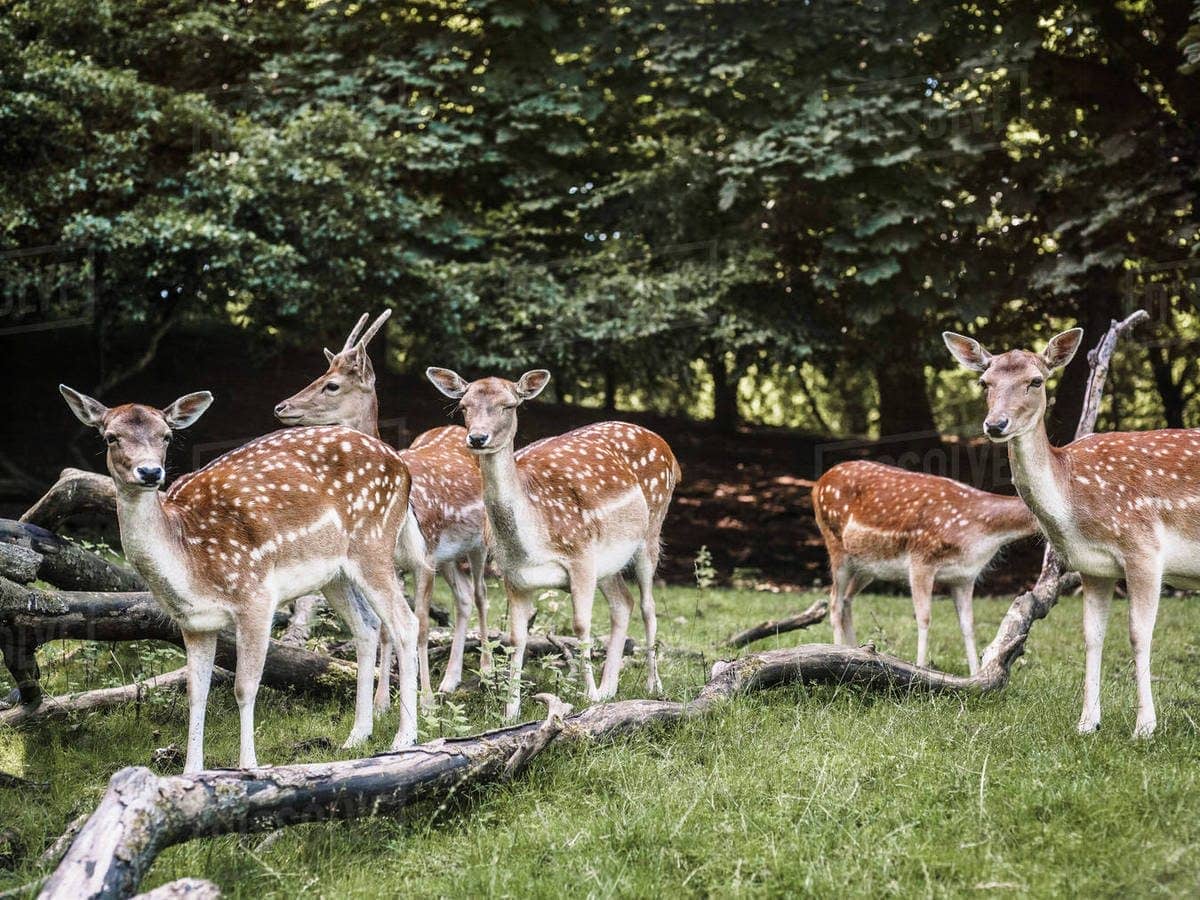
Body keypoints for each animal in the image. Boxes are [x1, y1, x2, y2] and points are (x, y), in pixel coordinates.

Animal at [64, 384, 427, 772]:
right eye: (110, 436)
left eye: (166, 435)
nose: (150, 472)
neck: (190, 563)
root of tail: (403, 467)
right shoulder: (194, 622)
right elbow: (196, 693)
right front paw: (191, 771)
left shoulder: (256, 597)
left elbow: (245, 686)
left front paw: (248, 765)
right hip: (335, 574)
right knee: (367, 627)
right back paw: (357, 735)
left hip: (373, 544)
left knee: (405, 623)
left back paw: (404, 737)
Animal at [274, 312, 487, 705]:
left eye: (332, 385)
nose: (282, 406)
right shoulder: (397, 562)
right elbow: (388, 628)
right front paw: (383, 700)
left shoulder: (423, 560)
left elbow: (420, 626)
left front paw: (424, 699)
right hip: (448, 556)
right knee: (464, 598)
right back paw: (451, 680)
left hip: (480, 543)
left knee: (482, 596)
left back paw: (486, 672)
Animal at [427, 367, 681, 720]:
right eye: (464, 406)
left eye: (509, 405)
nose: (477, 438)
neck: (530, 543)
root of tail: (668, 450)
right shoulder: (514, 577)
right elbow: (516, 637)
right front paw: (510, 711)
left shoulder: (581, 556)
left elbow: (580, 625)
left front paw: (588, 695)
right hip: (609, 562)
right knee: (623, 603)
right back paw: (610, 688)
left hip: (651, 530)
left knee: (647, 605)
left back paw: (652, 685)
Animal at [816, 460, 1041, 672]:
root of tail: (818, 483)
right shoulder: (921, 560)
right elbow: (924, 618)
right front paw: (919, 668)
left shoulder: (964, 577)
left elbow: (968, 624)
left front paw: (976, 675)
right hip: (836, 545)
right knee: (834, 601)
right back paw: (836, 651)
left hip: (867, 566)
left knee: (847, 600)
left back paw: (854, 652)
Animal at [945, 326, 1200, 739]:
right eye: (984, 382)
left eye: (1036, 380)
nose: (995, 424)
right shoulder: (1093, 567)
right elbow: (1092, 636)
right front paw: (1087, 722)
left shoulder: (1143, 547)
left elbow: (1138, 635)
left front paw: (1144, 727)